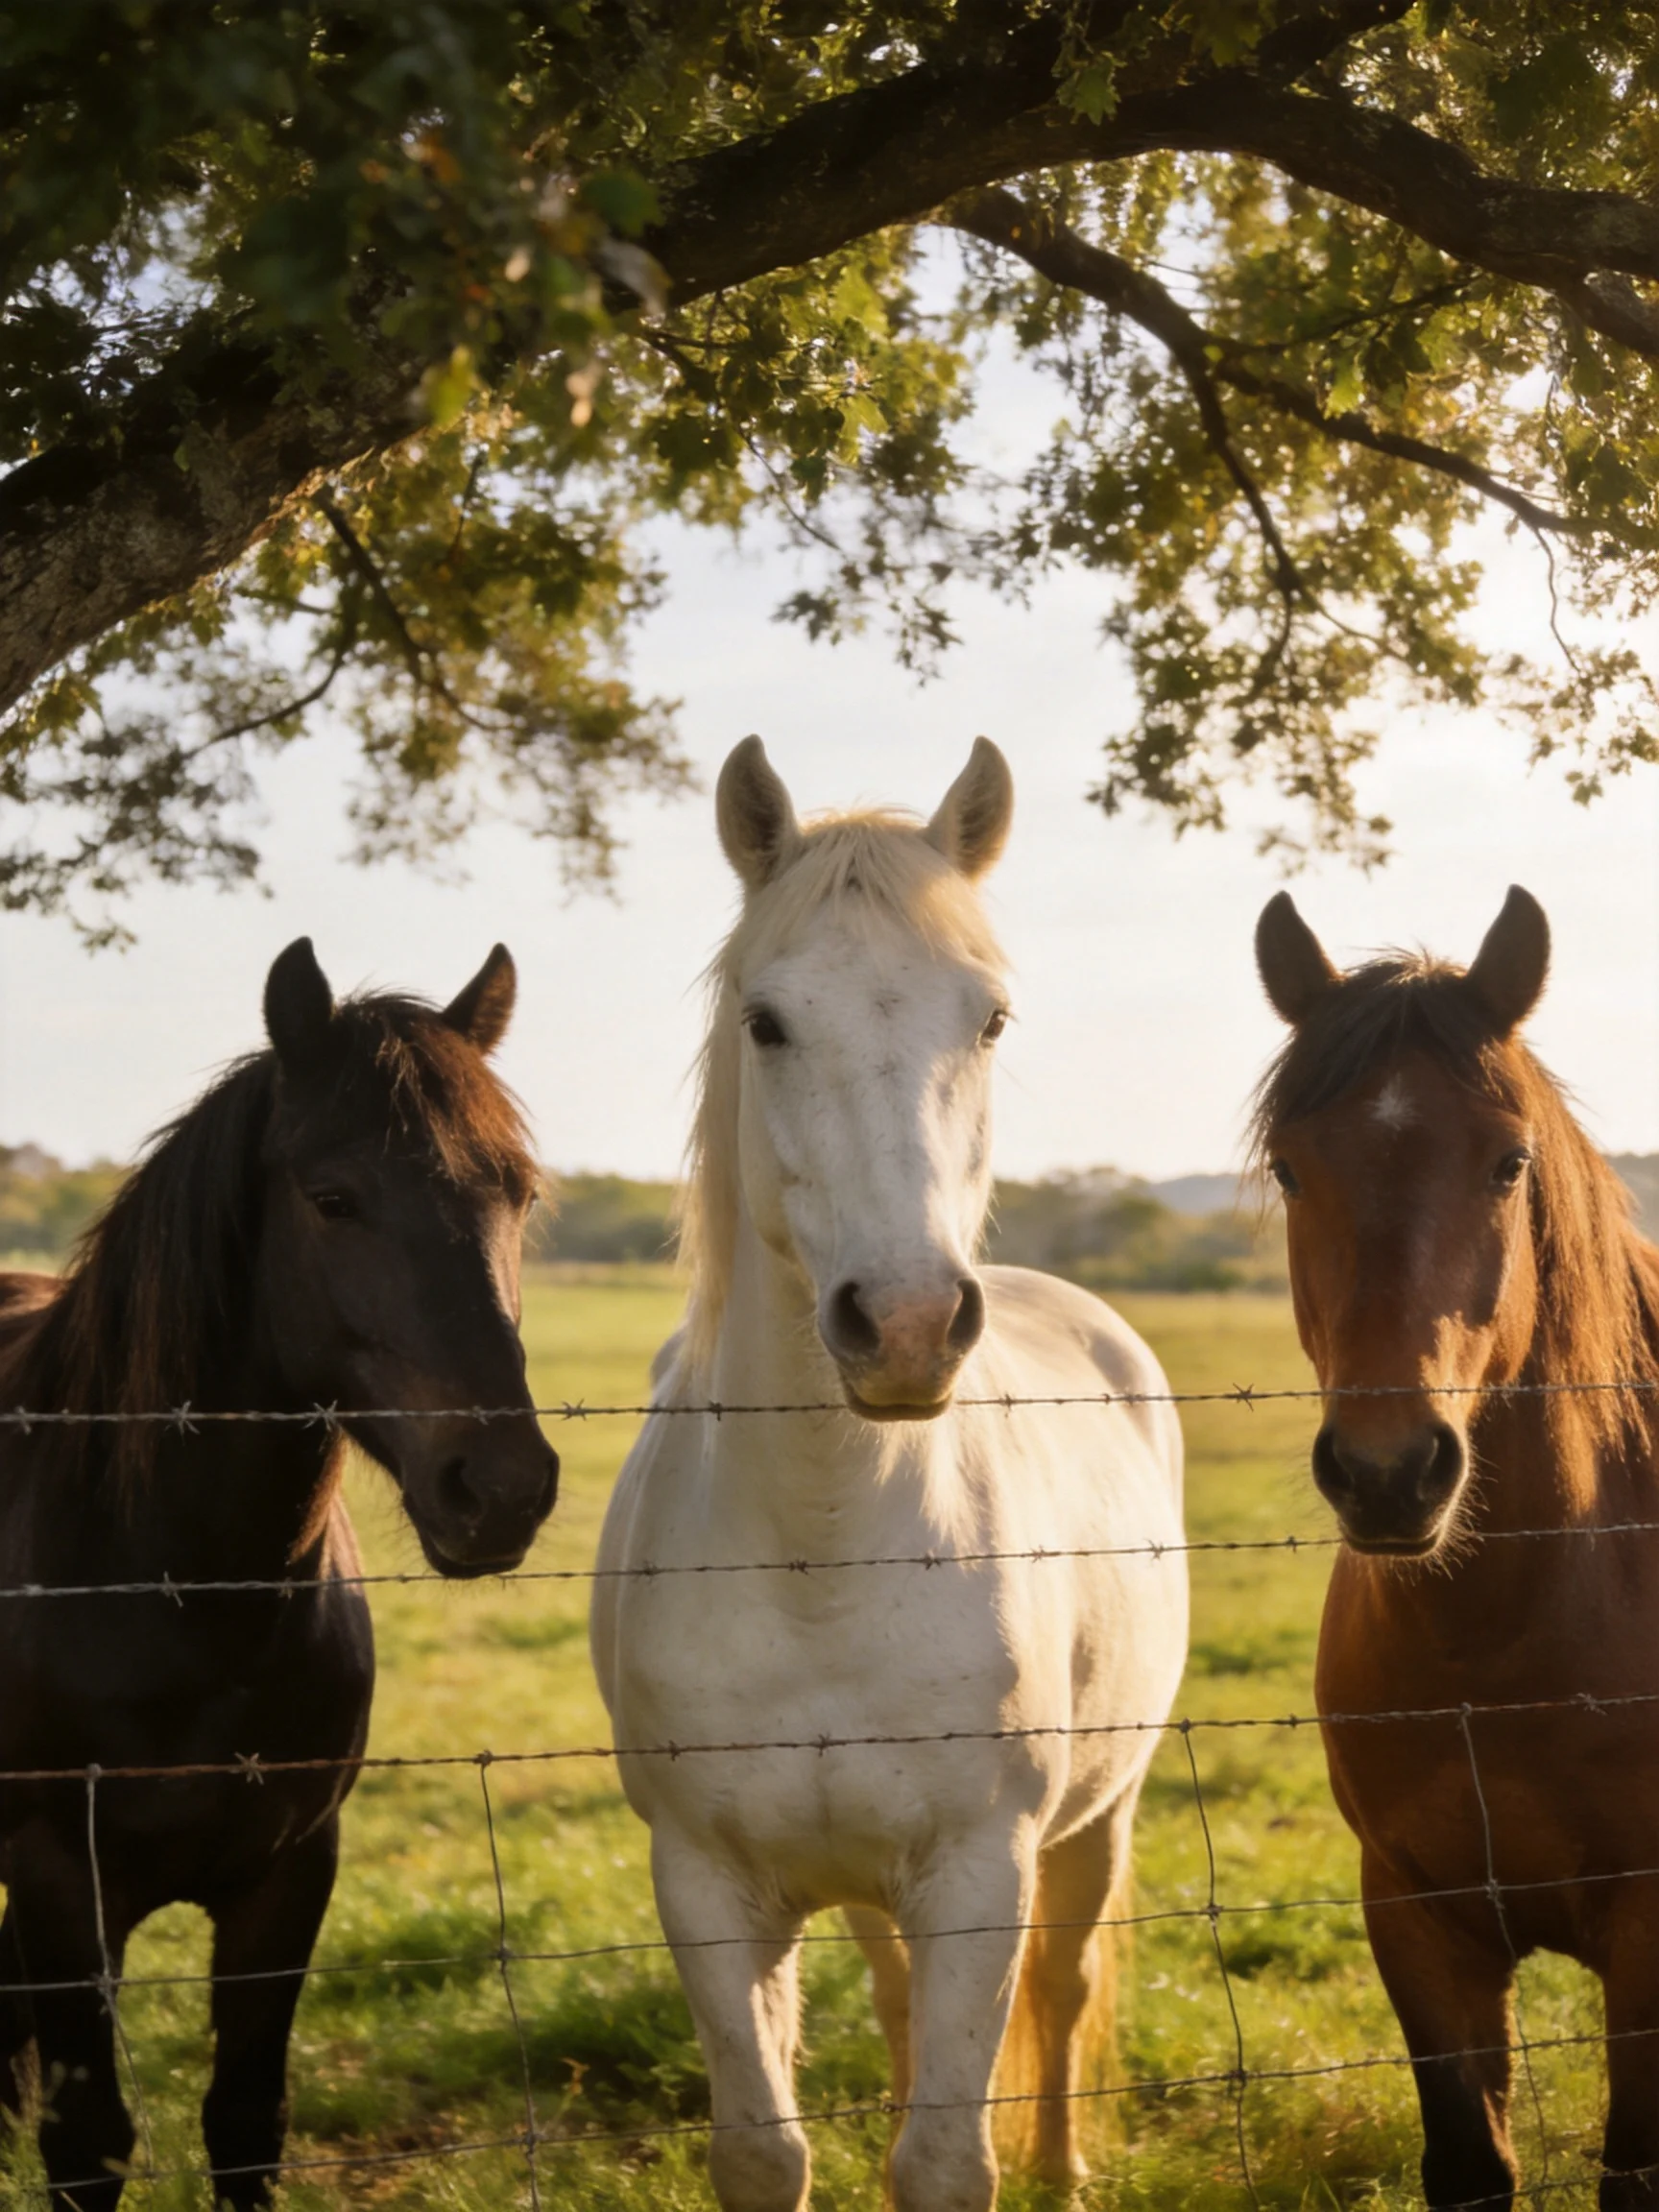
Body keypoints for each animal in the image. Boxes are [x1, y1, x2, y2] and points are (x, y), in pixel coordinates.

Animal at [0, 937, 560, 2209]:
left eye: (519, 1194)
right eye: (332, 1198)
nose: (503, 1488)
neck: (185, 1594)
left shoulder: (289, 1876)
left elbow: (246, 2118)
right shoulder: (63, 1880)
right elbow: (88, 2137)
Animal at [591, 737, 1189, 2212]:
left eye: (990, 1021)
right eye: (766, 1024)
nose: (909, 1322)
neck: (827, 1546)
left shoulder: (981, 1873)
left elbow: (948, 2157)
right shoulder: (706, 1887)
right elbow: (765, 2148)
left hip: (1097, 1820)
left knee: (1066, 1982)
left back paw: (1066, 2167)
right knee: (904, 1999)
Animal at [1254, 885, 1659, 2211]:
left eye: (1508, 1161)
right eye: (1290, 1166)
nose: (1390, 1470)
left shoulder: (1650, 1934)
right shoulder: (1418, 1915)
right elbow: (1472, 2163)